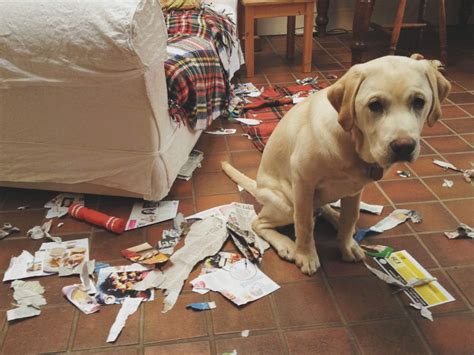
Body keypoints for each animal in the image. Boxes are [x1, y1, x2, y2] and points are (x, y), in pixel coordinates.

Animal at [222, 55, 452, 276]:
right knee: (260, 222)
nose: (403, 147)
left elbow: (350, 217)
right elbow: (304, 224)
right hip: (287, 202)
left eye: (419, 102)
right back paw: (286, 244)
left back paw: (334, 217)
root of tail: (258, 187)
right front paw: (305, 255)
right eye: (375, 105)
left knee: (321, 209)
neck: (353, 143)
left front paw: (347, 244)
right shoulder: (303, 181)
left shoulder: (355, 190)